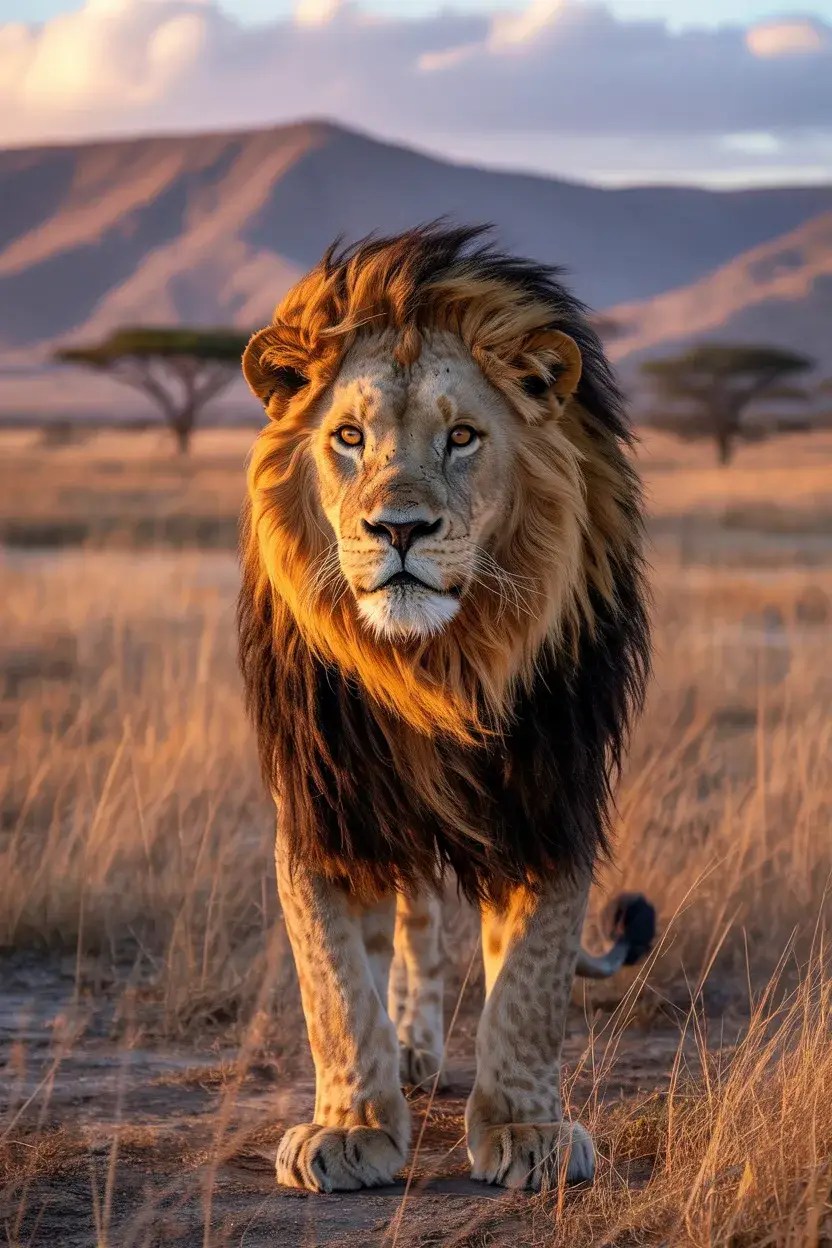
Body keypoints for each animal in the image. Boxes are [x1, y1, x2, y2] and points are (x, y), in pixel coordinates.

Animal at [238, 224, 653, 1193]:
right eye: (349, 437)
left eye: (462, 437)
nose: (399, 528)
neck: (432, 666)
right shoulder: (322, 799)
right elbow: (332, 982)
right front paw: (349, 1127)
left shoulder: (552, 789)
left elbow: (531, 978)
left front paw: (527, 1130)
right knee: (409, 923)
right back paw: (407, 1054)